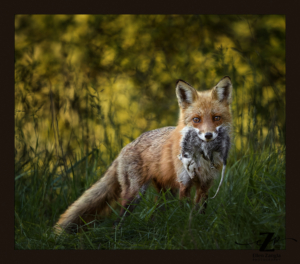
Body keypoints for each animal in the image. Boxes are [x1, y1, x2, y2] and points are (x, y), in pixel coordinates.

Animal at [54, 76, 232, 233]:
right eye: (196, 119)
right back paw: (117, 234)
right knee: (119, 218)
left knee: (153, 215)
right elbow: (185, 210)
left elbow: (200, 211)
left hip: (166, 193)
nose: (208, 135)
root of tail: (125, 147)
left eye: (216, 118)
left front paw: (199, 227)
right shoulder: (185, 182)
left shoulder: (205, 184)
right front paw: (188, 230)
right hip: (135, 193)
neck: (202, 157)